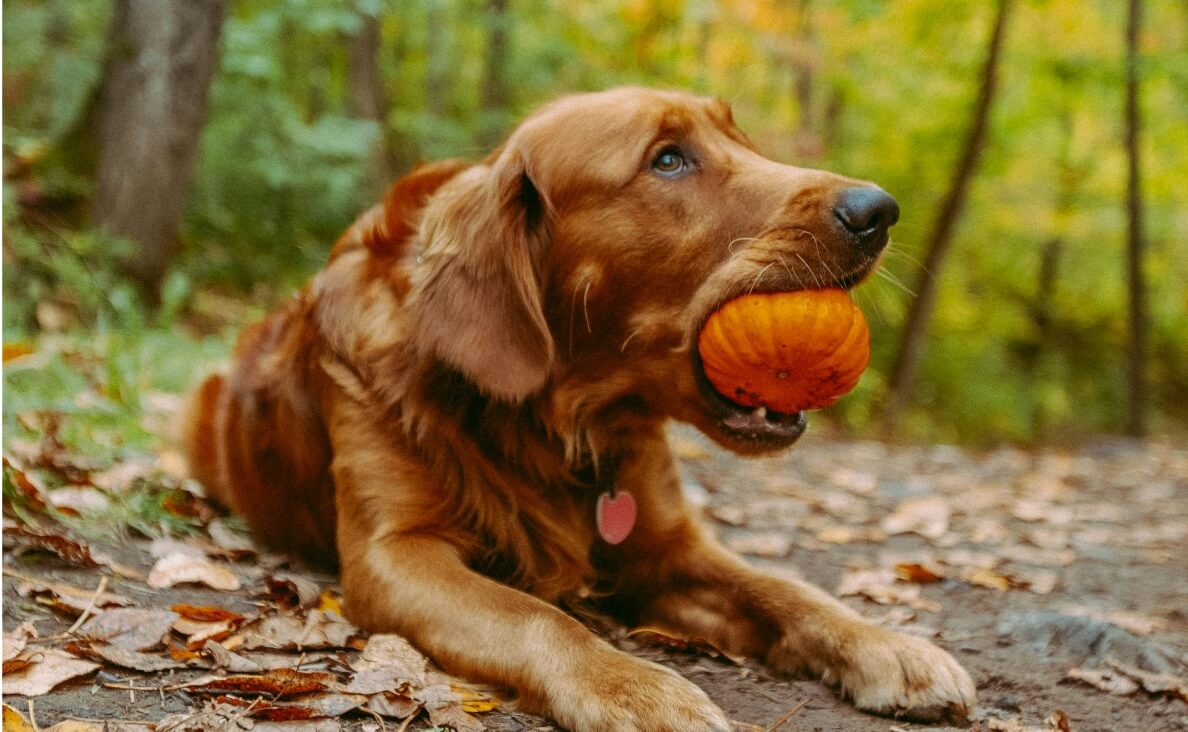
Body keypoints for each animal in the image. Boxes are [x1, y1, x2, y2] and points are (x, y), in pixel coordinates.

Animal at [180, 88, 969, 727]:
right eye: (668, 160)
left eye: (739, 138)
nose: (878, 209)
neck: (562, 425)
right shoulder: (395, 553)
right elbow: (535, 616)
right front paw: (635, 689)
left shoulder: (670, 547)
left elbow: (787, 589)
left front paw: (889, 646)